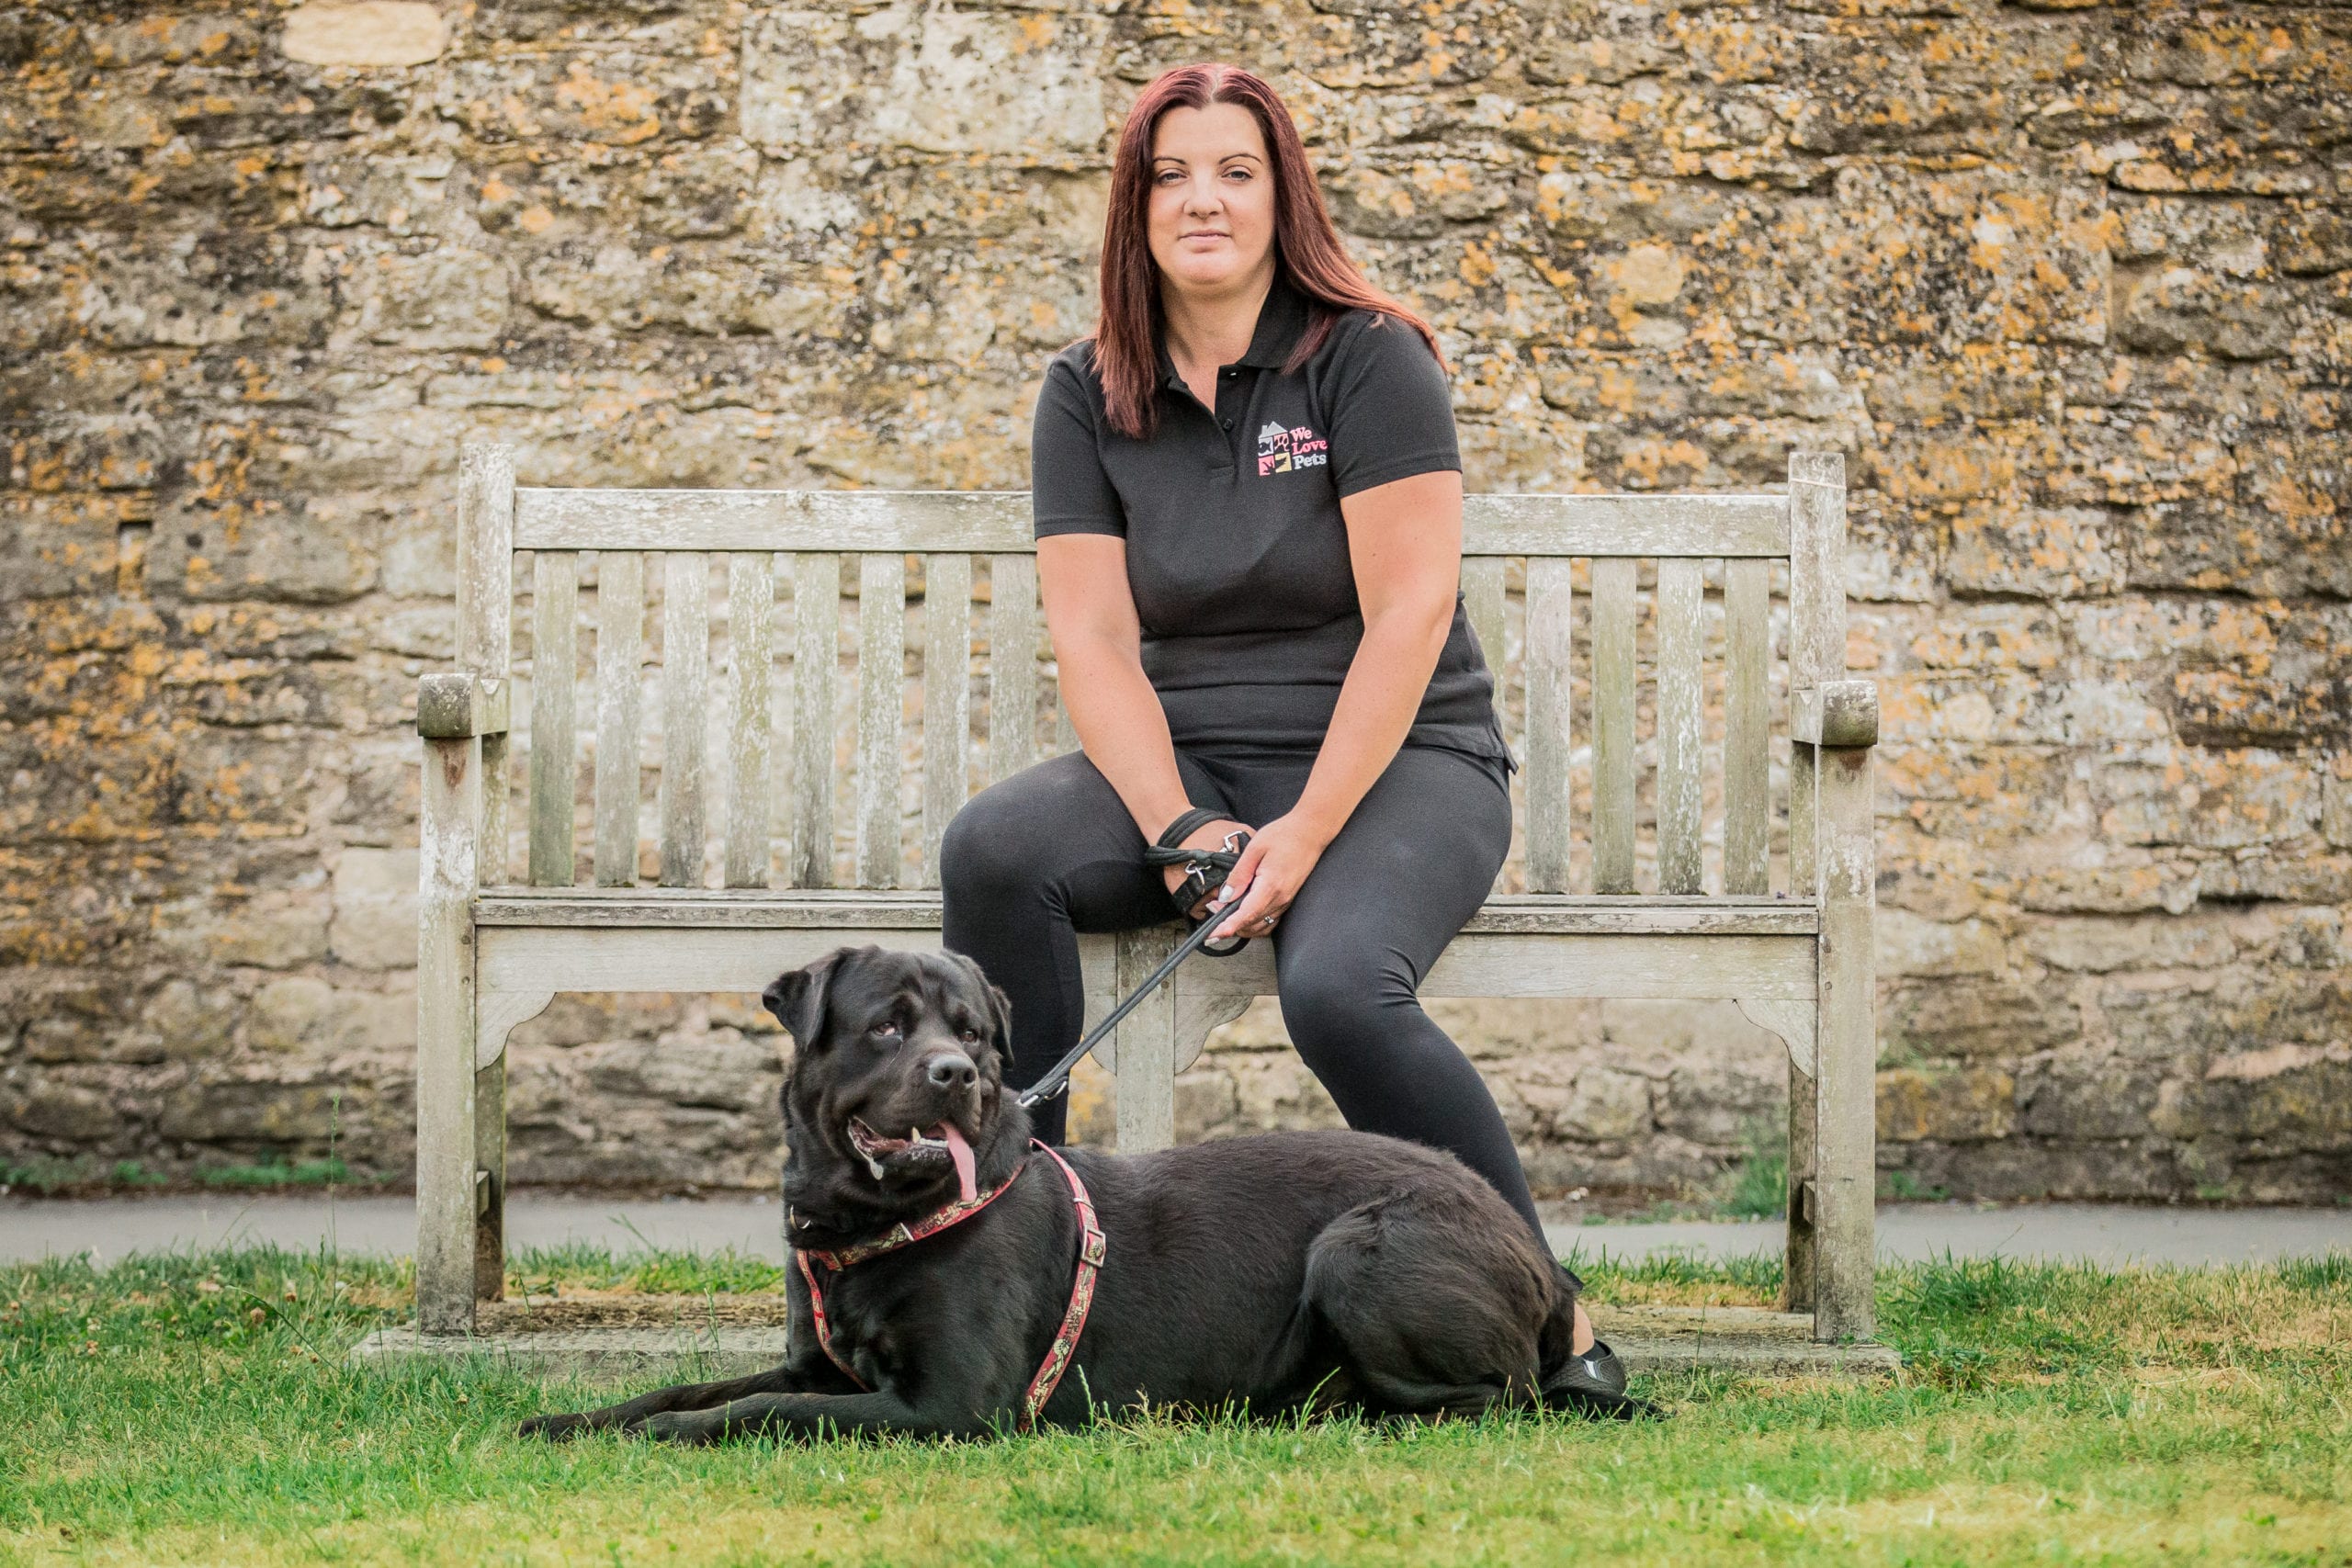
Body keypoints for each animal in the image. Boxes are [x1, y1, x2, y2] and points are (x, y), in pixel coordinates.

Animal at [522, 944, 1646, 1448]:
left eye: (975, 1034)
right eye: (887, 1025)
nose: (956, 1075)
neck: (879, 1225)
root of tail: (1547, 1265)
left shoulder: (948, 1406)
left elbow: (760, 1407)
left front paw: (653, 1437)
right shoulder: (828, 1364)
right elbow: (698, 1387)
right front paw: (576, 1419)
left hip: (1358, 1252)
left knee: (1502, 1398)